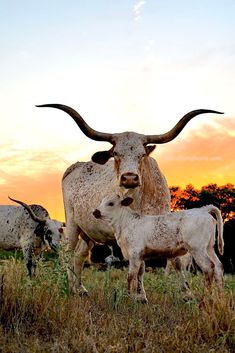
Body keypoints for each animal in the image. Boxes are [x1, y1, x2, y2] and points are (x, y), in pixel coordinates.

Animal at [36, 103, 222, 292]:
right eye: (116, 154)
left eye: (142, 154)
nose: (130, 178)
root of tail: (75, 167)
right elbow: (140, 268)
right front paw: (140, 294)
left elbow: (175, 261)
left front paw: (185, 292)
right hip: (72, 224)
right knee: (68, 254)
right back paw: (71, 288)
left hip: (88, 232)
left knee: (80, 255)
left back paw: (80, 289)